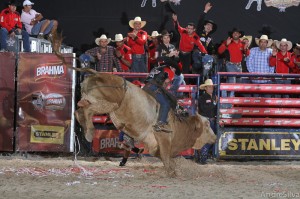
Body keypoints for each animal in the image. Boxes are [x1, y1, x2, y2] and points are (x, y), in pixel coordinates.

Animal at [75, 73, 216, 174]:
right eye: (207, 124)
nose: (215, 137)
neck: (178, 126)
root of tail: (96, 75)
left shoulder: (153, 145)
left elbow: (161, 155)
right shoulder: (164, 138)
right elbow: (166, 157)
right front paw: (173, 172)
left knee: (80, 110)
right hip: (110, 103)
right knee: (87, 110)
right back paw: (89, 132)